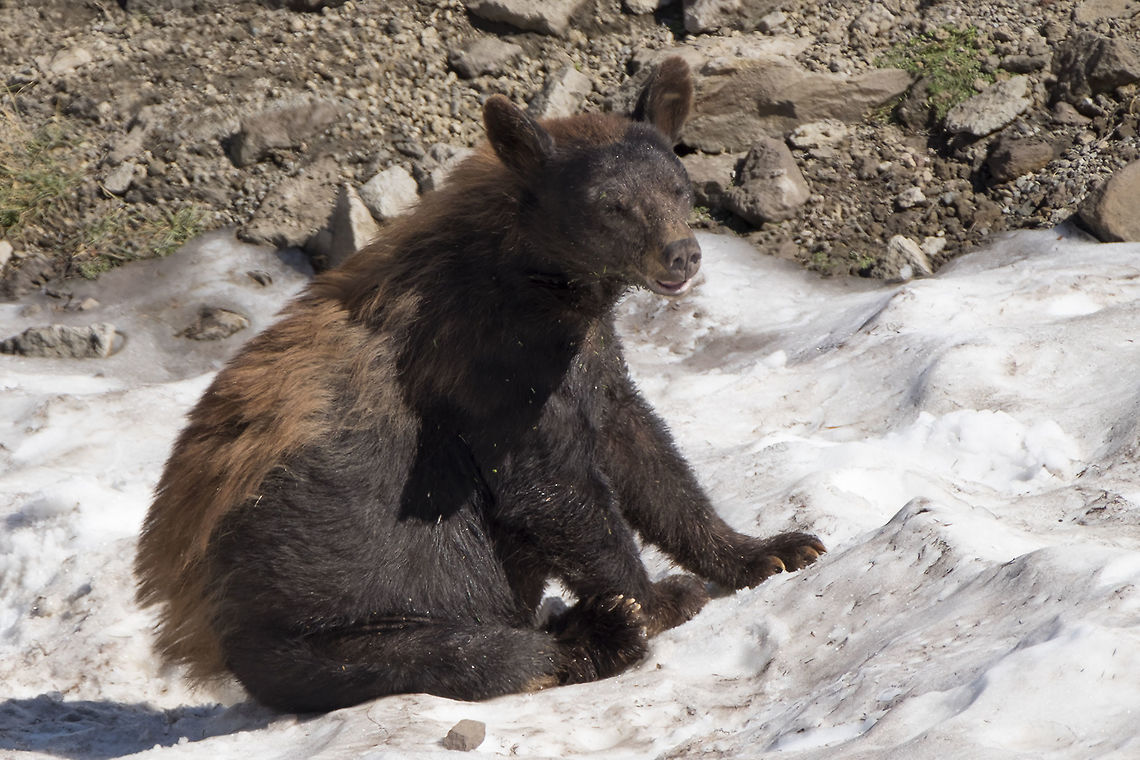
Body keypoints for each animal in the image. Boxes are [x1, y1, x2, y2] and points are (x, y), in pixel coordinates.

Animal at [134, 57, 826, 714]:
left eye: (678, 188)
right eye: (611, 204)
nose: (681, 254)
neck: (544, 286)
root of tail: (193, 628)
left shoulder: (587, 360)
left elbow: (645, 455)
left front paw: (771, 550)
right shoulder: (490, 368)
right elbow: (551, 490)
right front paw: (653, 598)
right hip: (327, 634)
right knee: (473, 655)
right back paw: (593, 634)